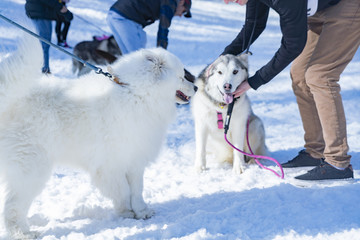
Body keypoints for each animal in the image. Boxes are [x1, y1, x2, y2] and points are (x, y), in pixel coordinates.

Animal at [0, 34, 194, 239]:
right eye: (182, 76)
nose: (197, 87)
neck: (136, 92)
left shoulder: (134, 158)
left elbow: (137, 190)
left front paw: (142, 212)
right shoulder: (112, 164)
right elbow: (123, 191)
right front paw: (126, 213)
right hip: (32, 169)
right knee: (12, 206)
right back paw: (23, 233)